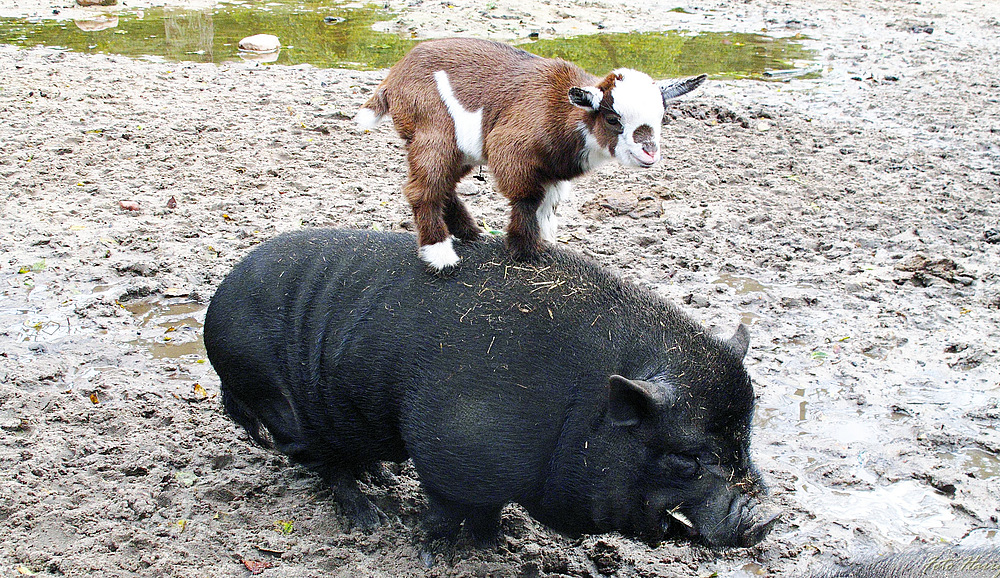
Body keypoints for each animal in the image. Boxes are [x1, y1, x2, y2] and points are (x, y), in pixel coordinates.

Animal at [205, 227, 780, 548]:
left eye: (746, 440)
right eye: (686, 459)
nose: (769, 518)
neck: (577, 404)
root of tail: (218, 302)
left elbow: (489, 511)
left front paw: (491, 545)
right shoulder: (445, 446)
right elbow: (446, 509)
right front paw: (436, 549)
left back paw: (382, 479)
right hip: (274, 395)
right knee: (327, 465)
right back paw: (371, 522)